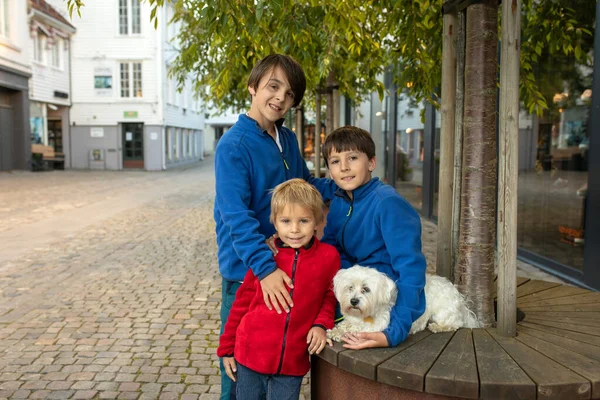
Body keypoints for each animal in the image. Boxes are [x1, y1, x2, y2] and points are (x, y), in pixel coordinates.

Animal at [326, 266, 480, 340]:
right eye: (350, 287)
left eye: (366, 289)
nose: (353, 301)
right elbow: (346, 324)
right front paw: (336, 330)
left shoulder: (380, 325)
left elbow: (355, 329)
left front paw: (341, 333)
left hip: (442, 312)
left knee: (456, 323)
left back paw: (437, 327)